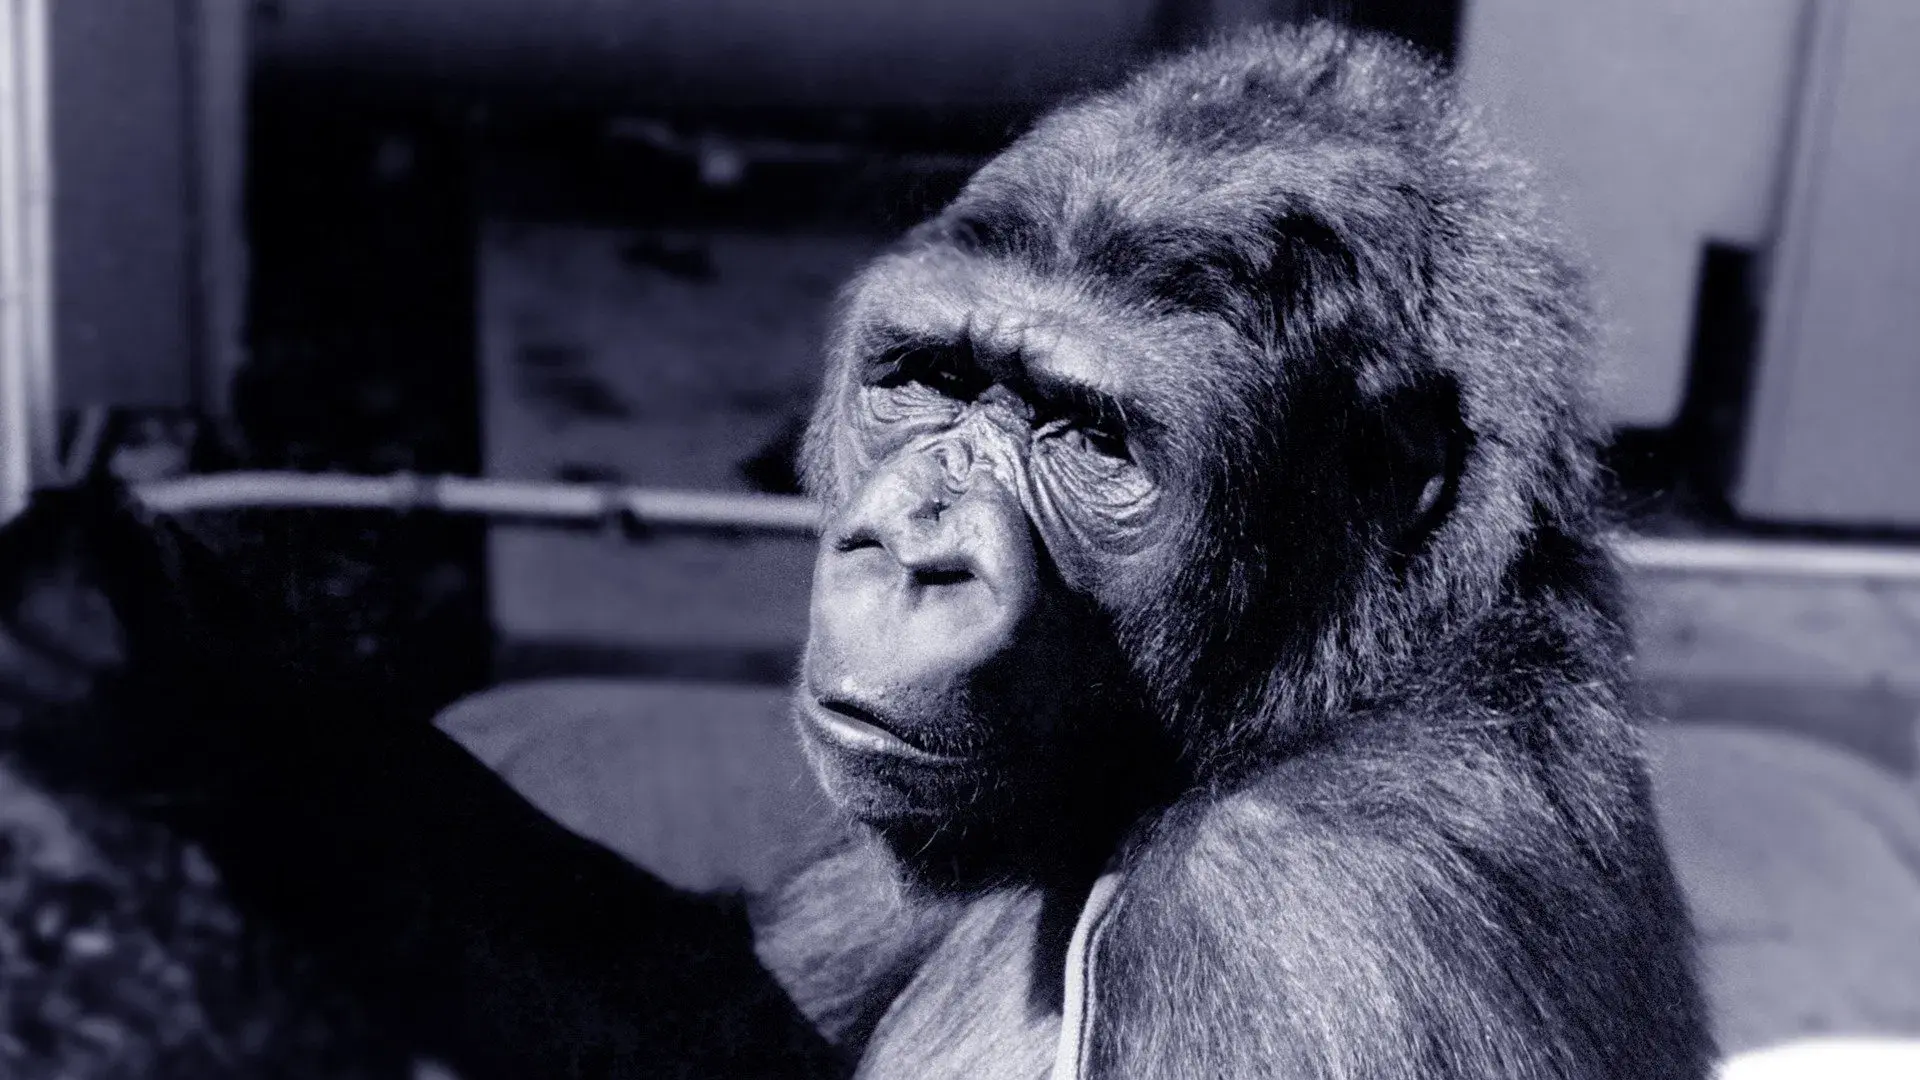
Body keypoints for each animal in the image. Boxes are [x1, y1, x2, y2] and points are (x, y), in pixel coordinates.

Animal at [0, 21, 1713, 1080]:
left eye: (1092, 439)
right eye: (931, 380)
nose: (912, 550)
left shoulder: (1309, 928)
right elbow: (701, 1008)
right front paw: (161, 664)